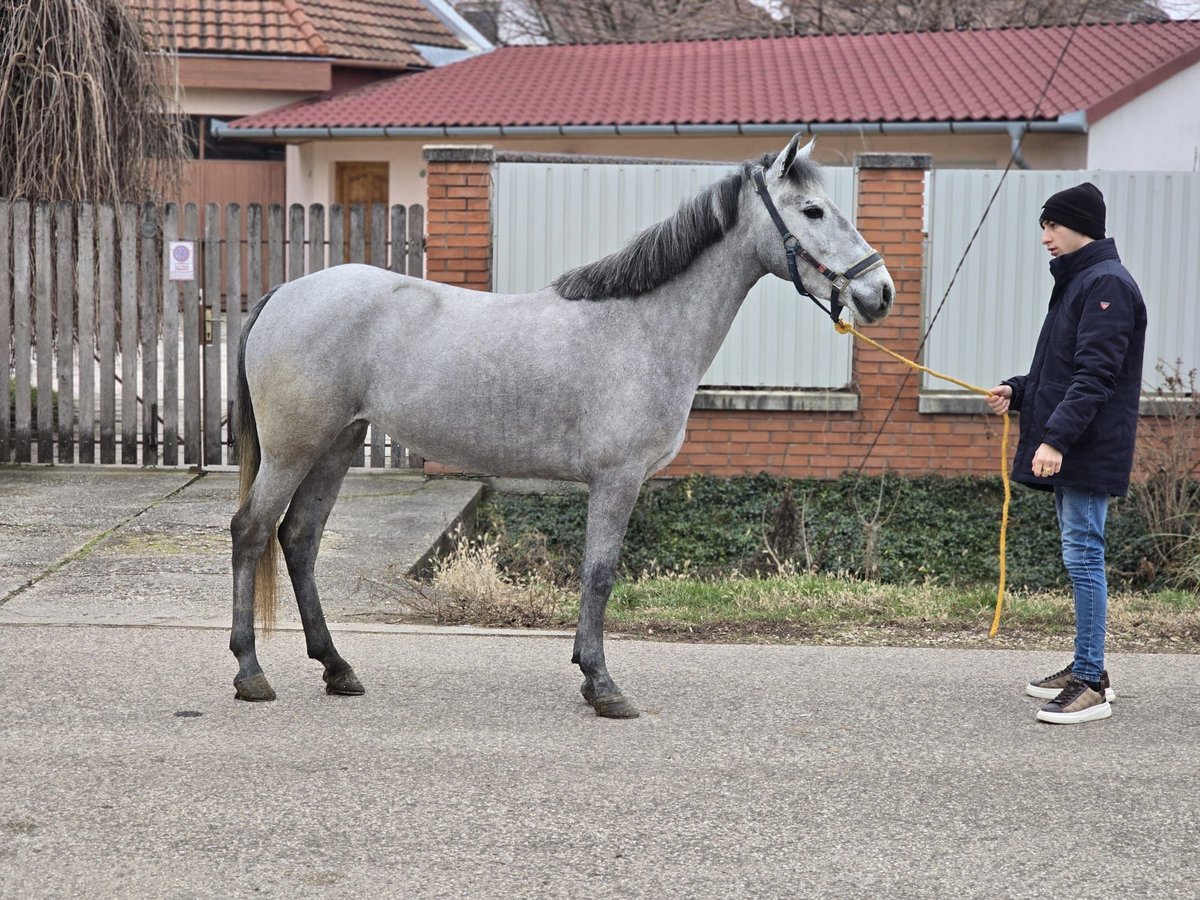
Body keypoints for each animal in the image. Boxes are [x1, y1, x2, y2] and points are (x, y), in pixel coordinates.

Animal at [231, 133, 892, 724]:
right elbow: (599, 574)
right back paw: (250, 672)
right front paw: (603, 686)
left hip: (336, 446)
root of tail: (284, 293)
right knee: (252, 531)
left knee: (300, 538)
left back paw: (336, 667)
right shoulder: (618, 479)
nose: (879, 291)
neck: (641, 326)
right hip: (293, 450)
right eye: (812, 210)